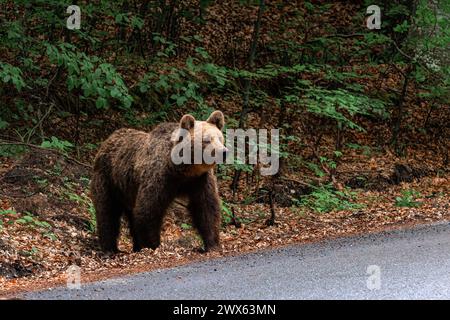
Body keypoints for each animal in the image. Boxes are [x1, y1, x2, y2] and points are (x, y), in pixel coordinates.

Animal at [90, 111, 227, 254]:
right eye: (206, 140)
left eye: (220, 138)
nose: (224, 152)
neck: (183, 170)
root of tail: (108, 140)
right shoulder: (160, 177)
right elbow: (148, 209)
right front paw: (153, 245)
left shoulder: (199, 180)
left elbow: (206, 208)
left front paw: (212, 244)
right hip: (108, 179)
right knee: (107, 212)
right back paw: (110, 249)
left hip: (128, 190)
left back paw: (136, 247)